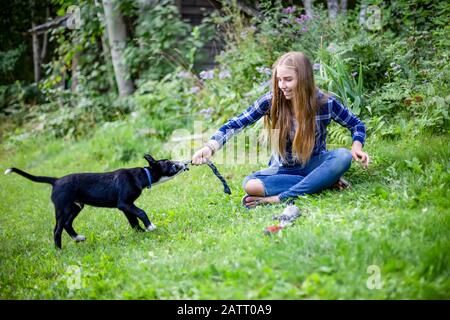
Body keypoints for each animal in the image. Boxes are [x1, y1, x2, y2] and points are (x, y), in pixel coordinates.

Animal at [3, 155, 186, 250]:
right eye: (169, 163)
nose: (184, 163)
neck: (141, 175)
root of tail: (55, 181)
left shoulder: (126, 206)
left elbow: (133, 220)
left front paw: (140, 232)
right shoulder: (124, 204)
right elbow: (141, 212)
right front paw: (150, 226)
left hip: (76, 207)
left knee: (67, 224)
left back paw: (78, 238)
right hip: (63, 208)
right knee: (57, 229)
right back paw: (59, 250)